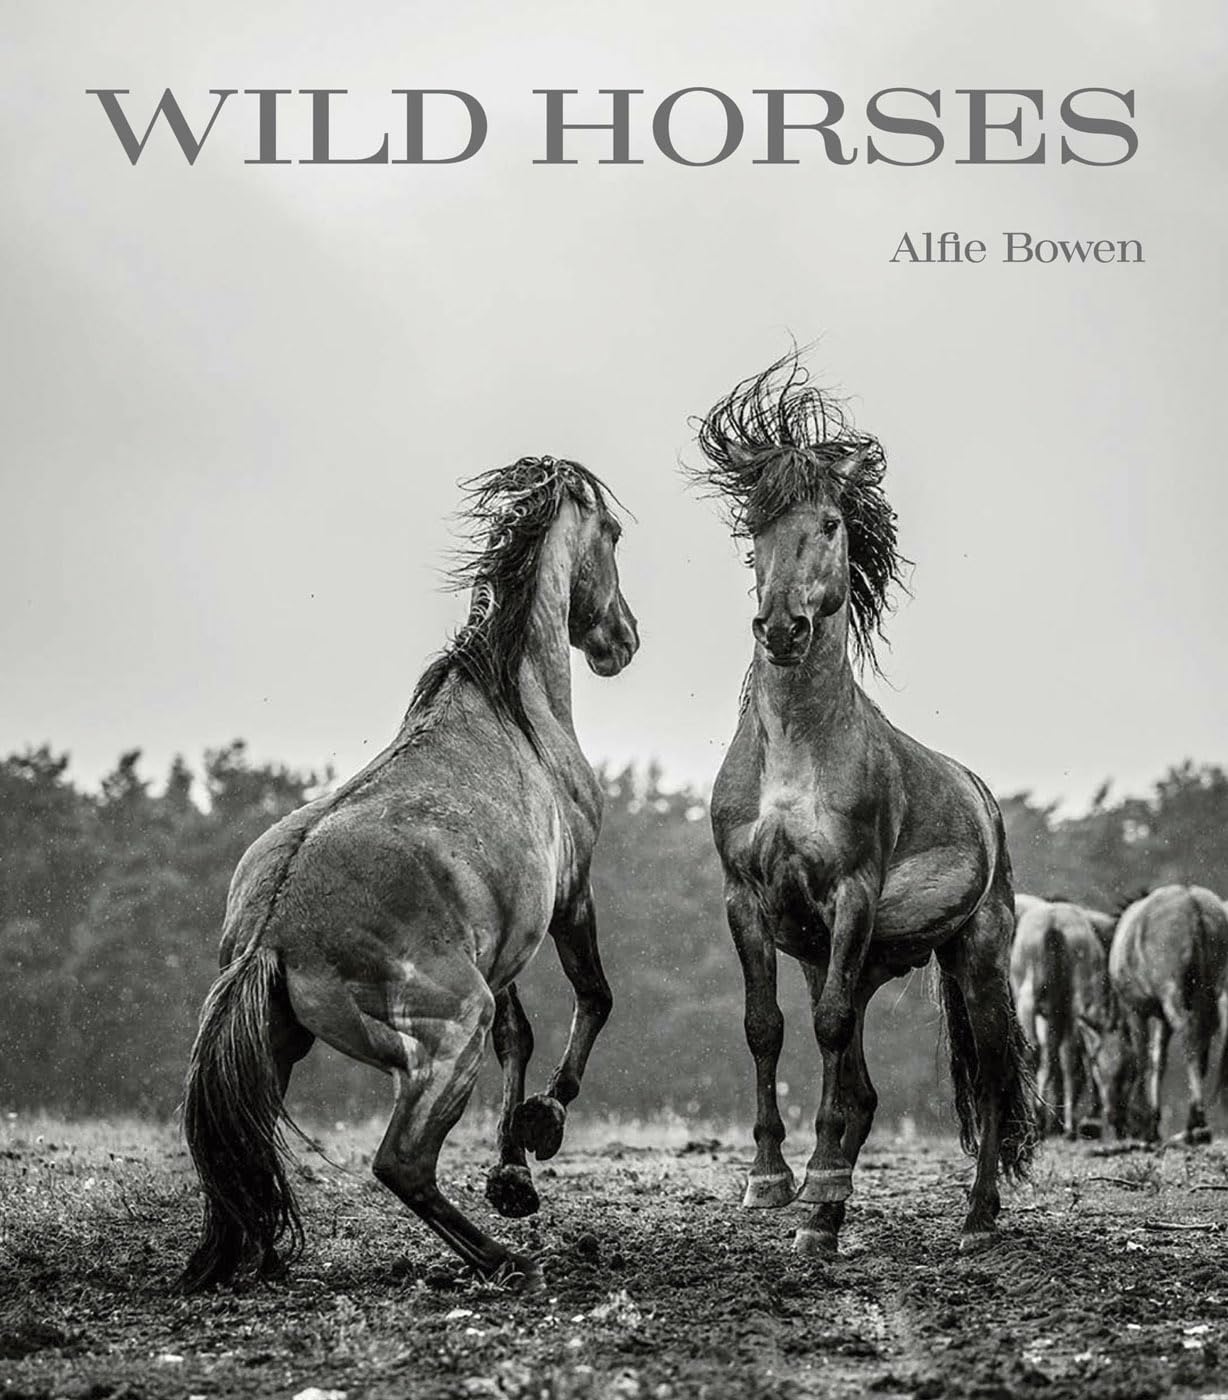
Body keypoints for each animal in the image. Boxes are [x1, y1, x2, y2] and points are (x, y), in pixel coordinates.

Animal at [179, 456, 639, 1291]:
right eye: (613, 533)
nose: (623, 639)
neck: (516, 706)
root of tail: (273, 928)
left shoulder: (504, 942)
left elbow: (520, 1037)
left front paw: (512, 1178)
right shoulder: (570, 898)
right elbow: (594, 999)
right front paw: (543, 1126)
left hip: (280, 1049)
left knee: (241, 1156)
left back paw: (250, 1258)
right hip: (448, 1031)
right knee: (401, 1164)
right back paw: (506, 1261)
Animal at [692, 351, 1035, 1259]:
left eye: (830, 525)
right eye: (755, 527)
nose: (782, 628)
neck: (795, 753)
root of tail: (984, 801)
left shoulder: (850, 894)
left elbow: (830, 1031)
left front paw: (815, 1189)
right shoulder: (747, 901)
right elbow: (766, 1027)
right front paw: (774, 1184)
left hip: (976, 955)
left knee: (989, 1077)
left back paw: (976, 1217)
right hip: (858, 954)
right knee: (865, 1085)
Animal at [1109, 884, 1228, 1144]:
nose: (1116, 1120)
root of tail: (1194, 904)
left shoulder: (1136, 1011)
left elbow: (1142, 1059)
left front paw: (1145, 1121)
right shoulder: (1165, 1017)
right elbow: (1159, 1060)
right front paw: (1152, 1121)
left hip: (1172, 993)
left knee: (1189, 1036)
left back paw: (1196, 1119)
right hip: (1215, 991)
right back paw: (1195, 1124)